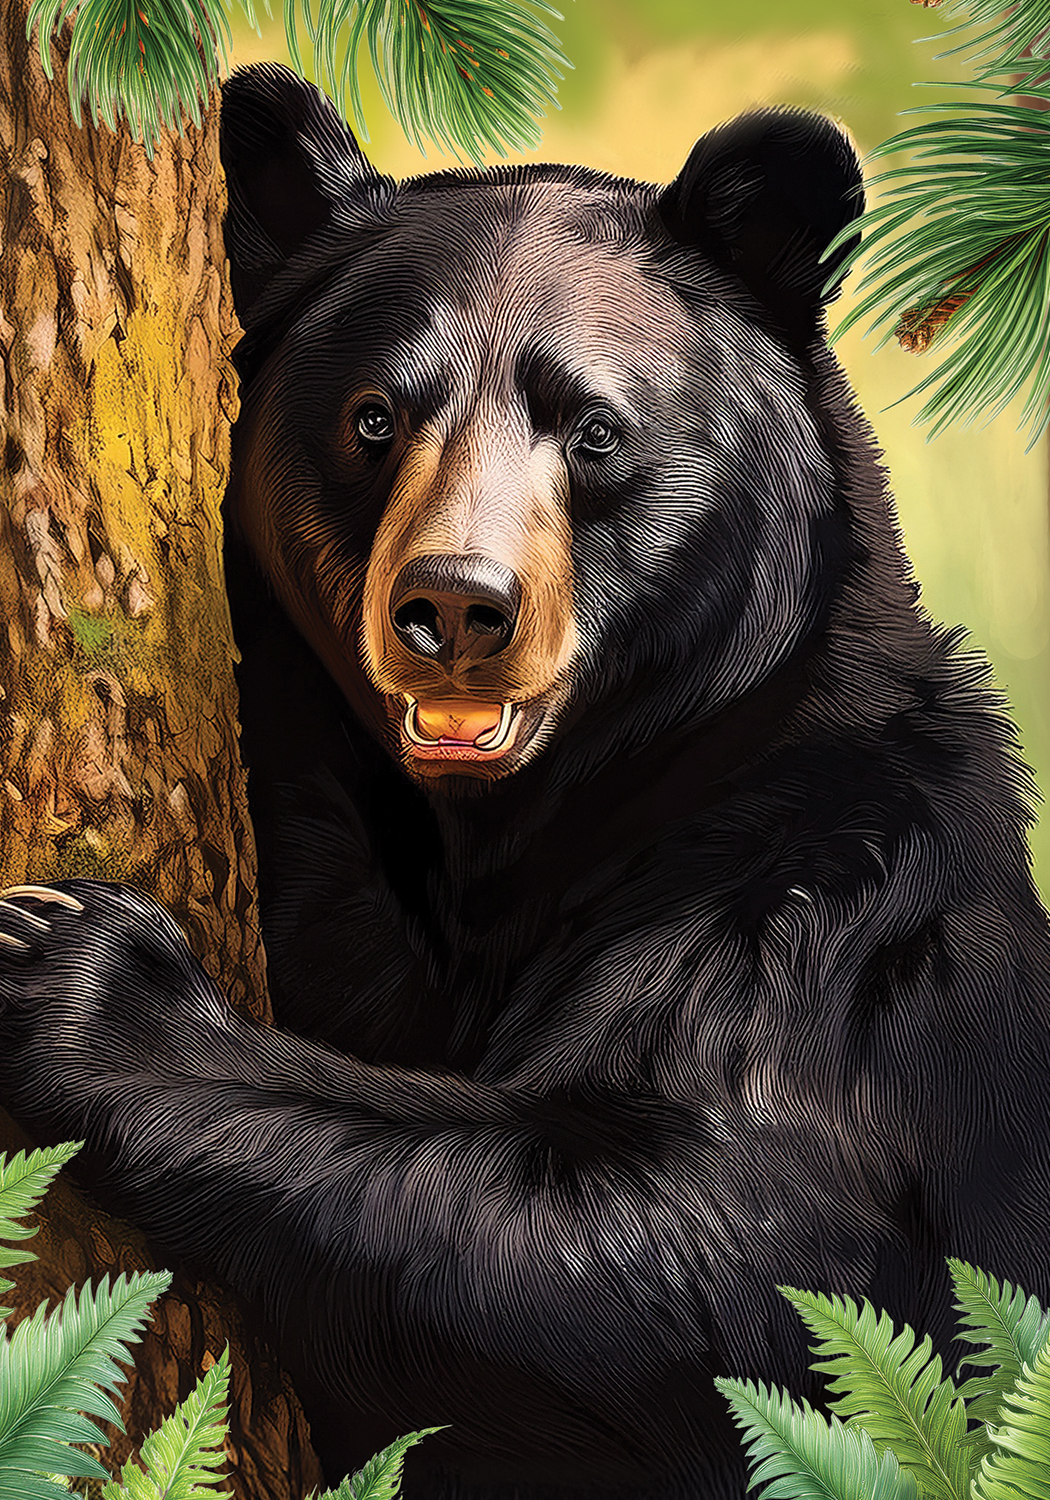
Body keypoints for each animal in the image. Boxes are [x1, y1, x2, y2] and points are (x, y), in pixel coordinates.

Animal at [2, 58, 1050, 1500]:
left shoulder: (833, 902)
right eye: (374, 417)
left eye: (594, 430)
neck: (514, 837)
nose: (455, 604)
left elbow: (716, 1257)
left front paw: (72, 970)